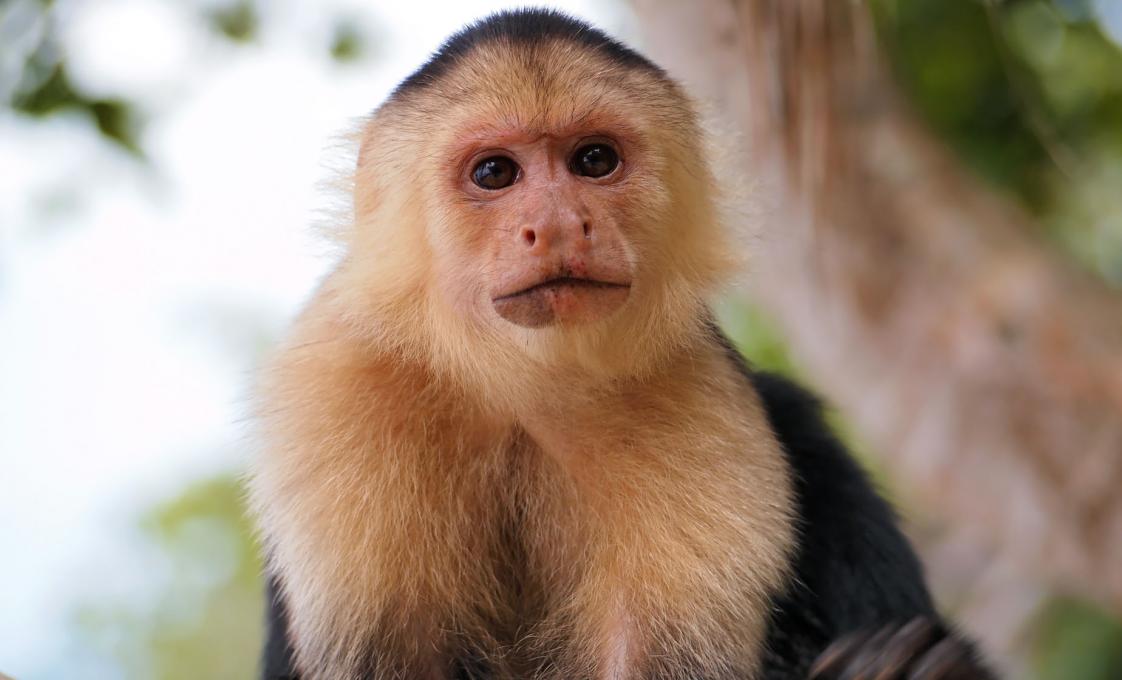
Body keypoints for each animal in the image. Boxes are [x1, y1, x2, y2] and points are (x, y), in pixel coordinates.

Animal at [250, 9, 996, 680]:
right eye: (495, 173)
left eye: (594, 160)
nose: (557, 224)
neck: (517, 382)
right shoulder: (337, 377)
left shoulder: (690, 385)